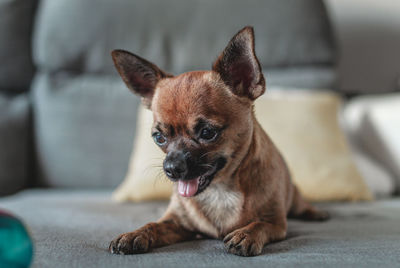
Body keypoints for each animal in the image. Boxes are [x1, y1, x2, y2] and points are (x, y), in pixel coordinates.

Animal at [108, 26, 328, 256]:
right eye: (159, 138)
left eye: (207, 133)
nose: (171, 168)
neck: (220, 190)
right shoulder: (177, 223)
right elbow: (153, 224)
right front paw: (135, 234)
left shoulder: (275, 224)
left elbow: (259, 224)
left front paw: (246, 234)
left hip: (293, 195)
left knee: (300, 204)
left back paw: (315, 212)